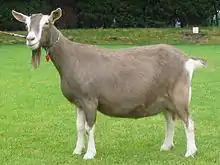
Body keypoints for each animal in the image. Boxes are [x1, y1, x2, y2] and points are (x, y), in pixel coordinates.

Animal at [12, 8, 206, 160]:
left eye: (47, 23)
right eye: (26, 24)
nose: (30, 39)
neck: (72, 58)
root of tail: (187, 60)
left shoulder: (90, 99)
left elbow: (89, 127)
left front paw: (89, 154)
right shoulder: (78, 102)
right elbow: (79, 127)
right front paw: (77, 151)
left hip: (179, 95)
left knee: (189, 122)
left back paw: (190, 152)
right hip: (164, 99)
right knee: (170, 120)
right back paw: (166, 146)